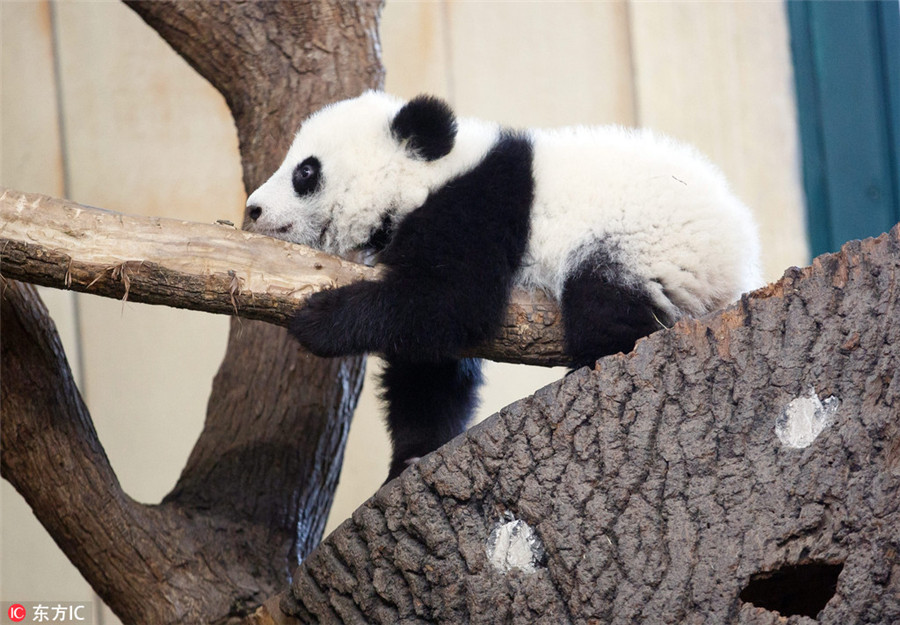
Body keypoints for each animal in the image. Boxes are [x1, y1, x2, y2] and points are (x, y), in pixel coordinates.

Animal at [246, 91, 760, 482]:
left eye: (305, 171)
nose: (252, 209)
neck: (426, 176)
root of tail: (738, 263)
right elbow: (430, 364)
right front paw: (410, 457)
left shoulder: (476, 208)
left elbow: (451, 303)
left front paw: (318, 319)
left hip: (647, 246)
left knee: (606, 307)